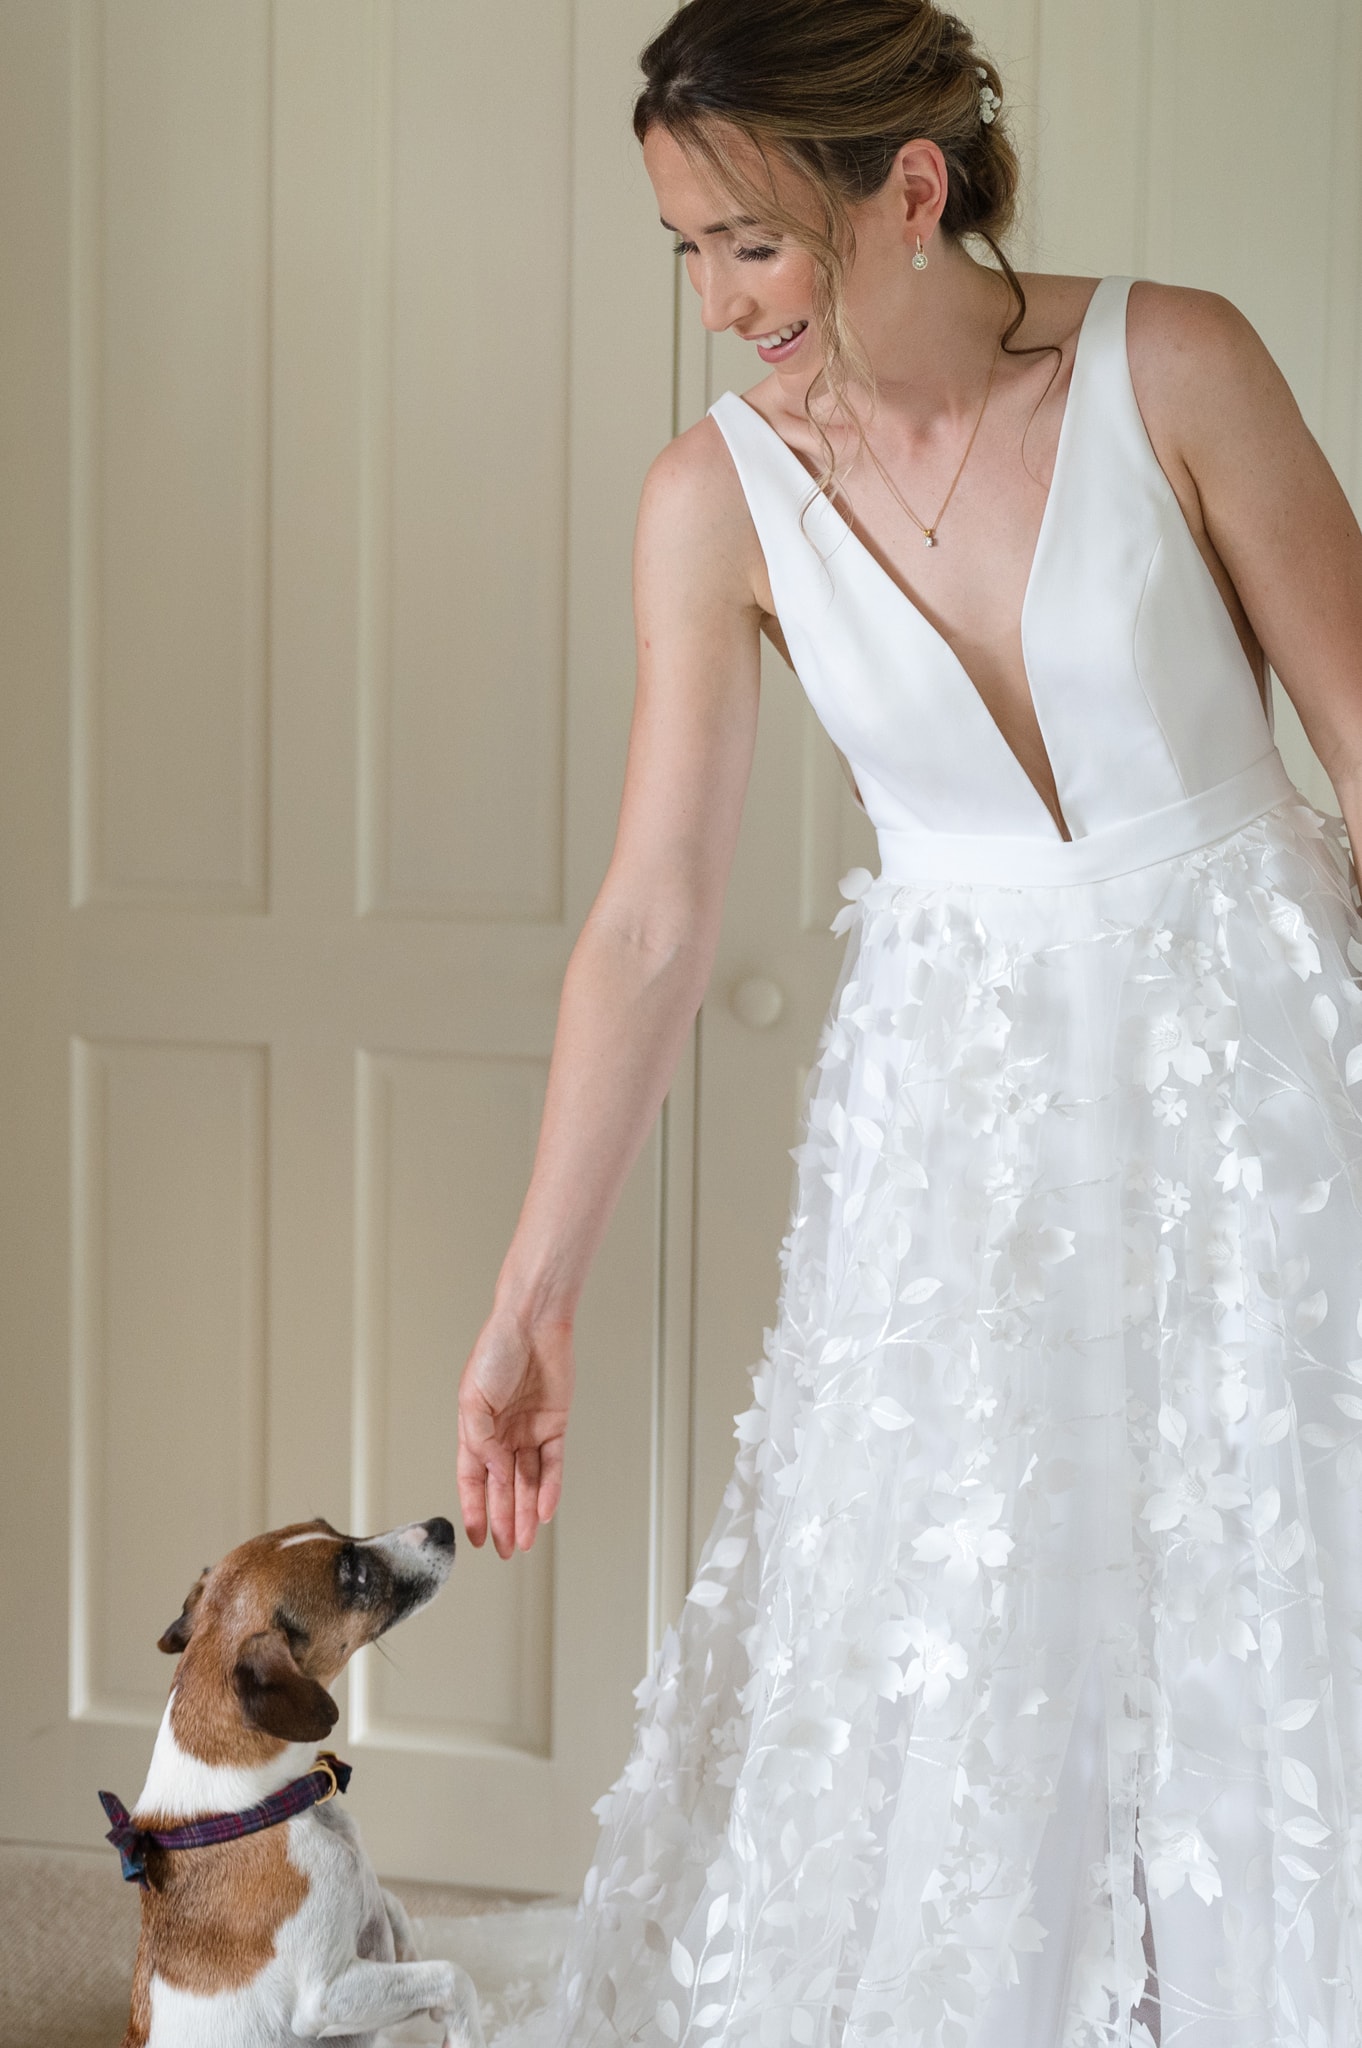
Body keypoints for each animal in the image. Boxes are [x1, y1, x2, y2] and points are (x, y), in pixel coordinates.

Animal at [112, 1515, 483, 2039]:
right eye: (352, 1575)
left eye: (331, 1526)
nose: (443, 1524)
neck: (258, 1808)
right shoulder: (325, 1996)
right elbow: (453, 1977)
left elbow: (395, 1912)